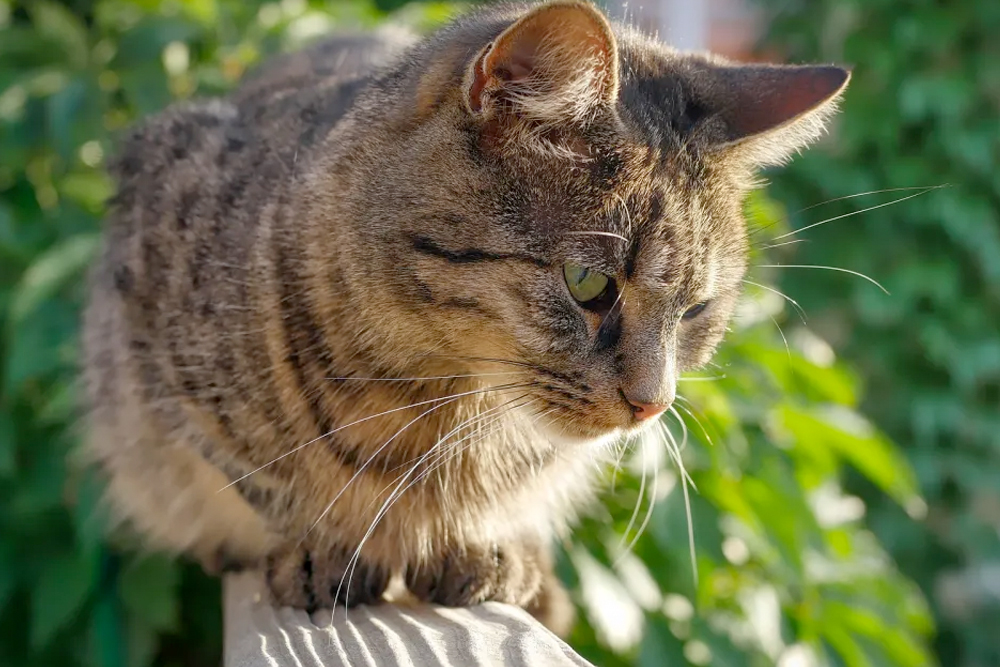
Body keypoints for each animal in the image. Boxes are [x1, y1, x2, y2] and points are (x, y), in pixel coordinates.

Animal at [84, 1, 852, 636]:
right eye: (589, 283)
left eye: (697, 309)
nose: (652, 404)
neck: (444, 397)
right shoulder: (158, 358)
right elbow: (264, 480)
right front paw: (324, 544)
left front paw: (481, 547)